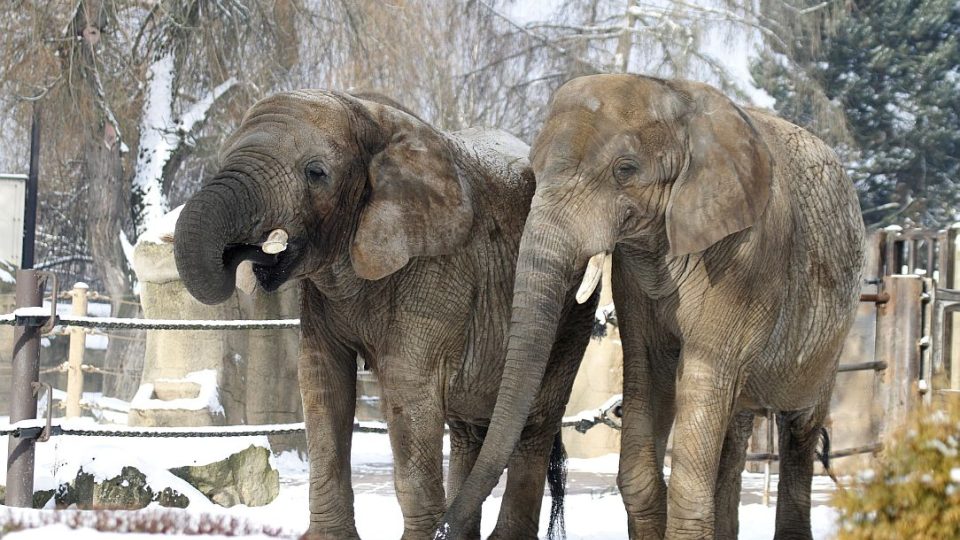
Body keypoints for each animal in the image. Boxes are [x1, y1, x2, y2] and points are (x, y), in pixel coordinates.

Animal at [169, 87, 596, 536]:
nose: (247, 253)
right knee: (469, 429)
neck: (369, 113)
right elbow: (322, 381)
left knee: (535, 424)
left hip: (572, 311)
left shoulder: (440, 268)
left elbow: (408, 387)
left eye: (316, 172)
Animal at [438, 73, 868, 540]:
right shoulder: (636, 270)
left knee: (800, 430)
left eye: (625, 170)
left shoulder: (748, 258)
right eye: (535, 170)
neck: (679, 95)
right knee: (735, 433)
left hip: (833, 331)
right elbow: (647, 368)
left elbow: (705, 373)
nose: (442, 528)